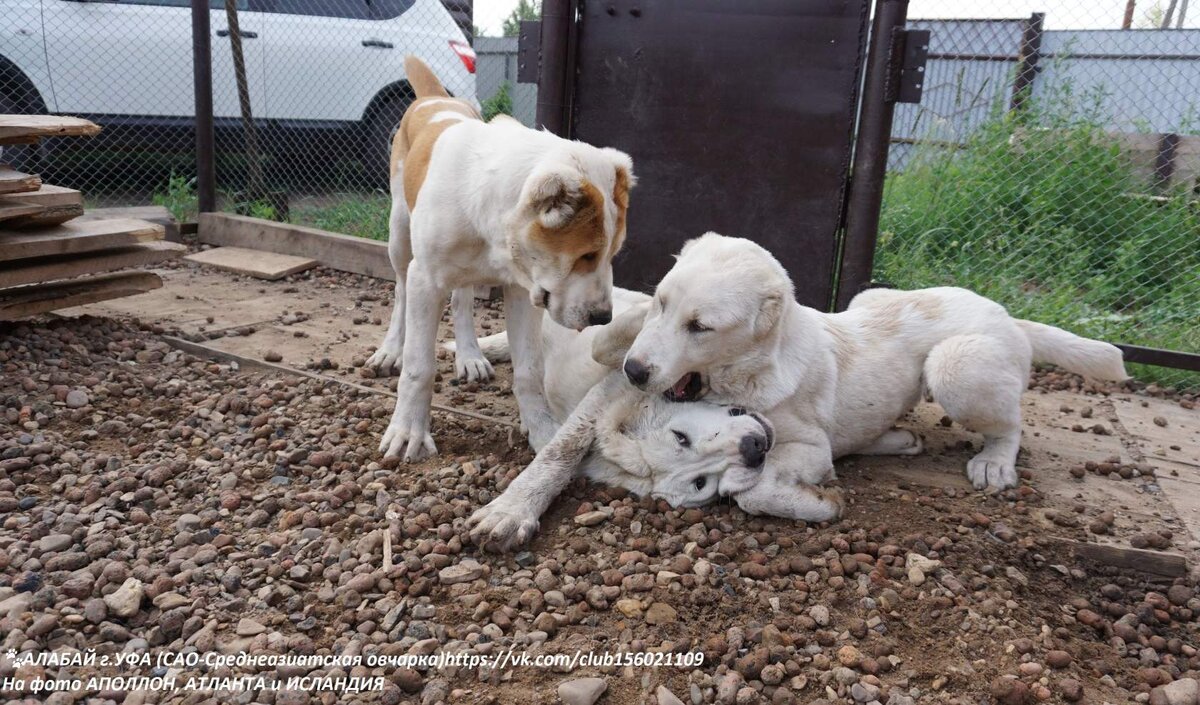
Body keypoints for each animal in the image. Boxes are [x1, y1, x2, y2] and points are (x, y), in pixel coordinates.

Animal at [374, 56, 638, 462]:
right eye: (586, 255)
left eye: (612, 252)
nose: (602, 318)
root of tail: (434, 98)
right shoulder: (426, 280)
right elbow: (419, 367)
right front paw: (407, 432)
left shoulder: (522, 292)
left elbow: (529, 369)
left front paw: (542, 431)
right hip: (400, 238)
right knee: (401, 293)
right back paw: (390, 350)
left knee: (462, 299)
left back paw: (469, 354)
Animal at [614, 233, 1128, 515]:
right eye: (660, 302)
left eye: (700, 327)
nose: (633, 371)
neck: (752, 369)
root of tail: (1006, 315)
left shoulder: (808, 448)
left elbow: (757, 487)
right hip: (869, 296)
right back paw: (896, 439)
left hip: (955, 366)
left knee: (1010, 425)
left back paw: (995, 461)